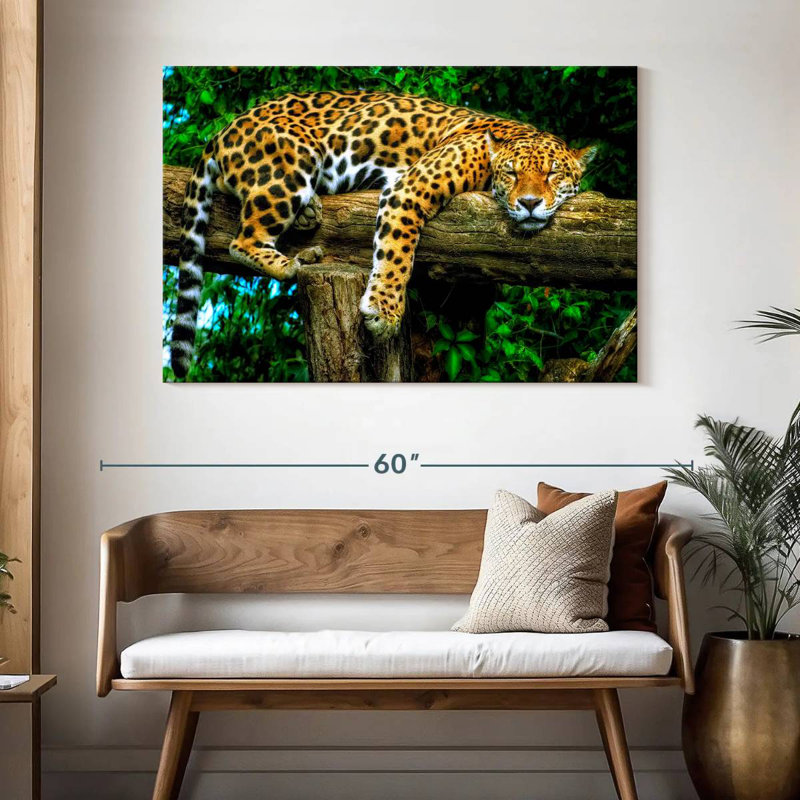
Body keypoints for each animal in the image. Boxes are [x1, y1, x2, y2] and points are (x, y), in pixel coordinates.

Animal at [169, 90, 597, 378]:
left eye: (553, 174)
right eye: (511, 173)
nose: (529, 202)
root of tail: (222, 130)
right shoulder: (410, 187)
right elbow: (396, 255)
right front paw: (384, 312)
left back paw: (308, 226)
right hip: (290, 164)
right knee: (242, 241)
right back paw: (293, 263)